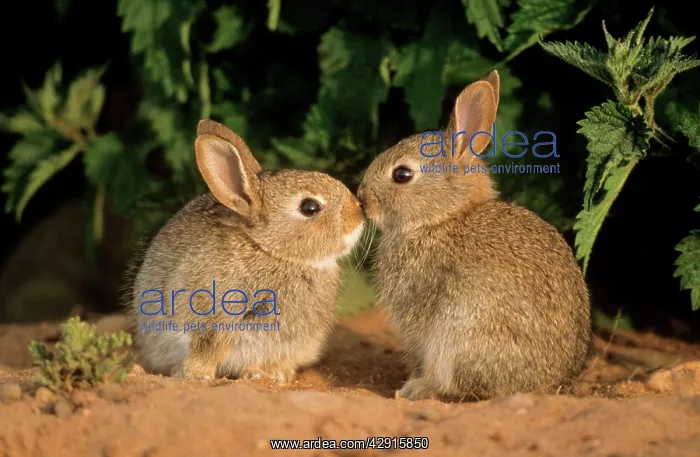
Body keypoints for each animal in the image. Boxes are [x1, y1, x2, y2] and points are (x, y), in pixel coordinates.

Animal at [126, 120, 365, 383]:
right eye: (309, 207)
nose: (360, 212)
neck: (270, 251)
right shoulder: (207, 318)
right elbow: (203, 350)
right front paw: (198, 376)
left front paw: (271, 375)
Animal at [357, 71, 592, 401]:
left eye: (402, 175)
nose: (362, 197)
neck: (442, 218)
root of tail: (548, 385)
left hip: (459, 334)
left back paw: (418, 389)